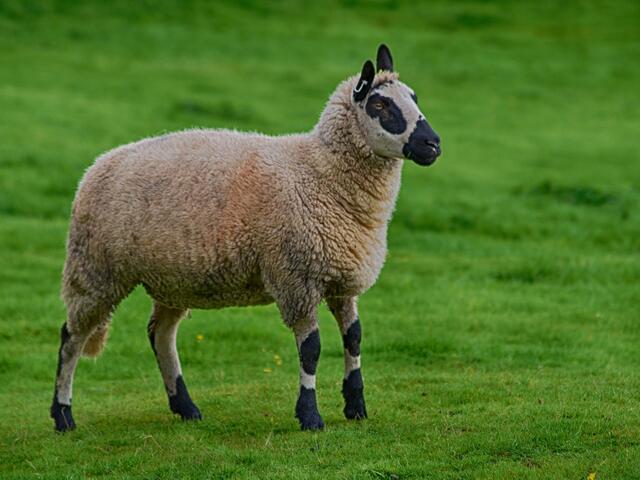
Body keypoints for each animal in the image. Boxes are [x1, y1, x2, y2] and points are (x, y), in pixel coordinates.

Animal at [50, 44, 442, 432]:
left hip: (171, 277)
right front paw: (309, 415)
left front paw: (356, 406)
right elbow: (312, 348)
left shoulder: (341, 279)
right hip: (95, 269)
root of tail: (97, 165)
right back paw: (63, 414)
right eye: (380, 106)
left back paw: (185, 407)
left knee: (159, 334)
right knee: (72, 337)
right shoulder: (296, 279)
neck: (319, 173)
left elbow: (354, 338)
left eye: (414, 97)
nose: (433, 144)